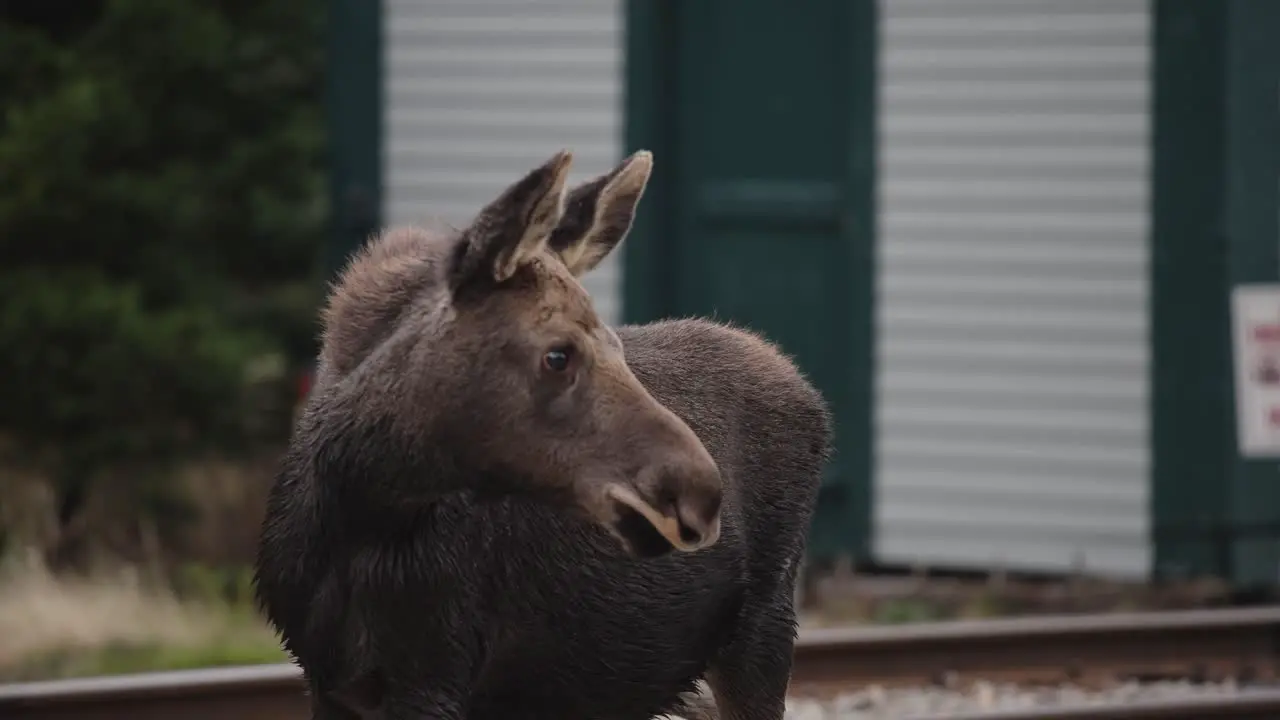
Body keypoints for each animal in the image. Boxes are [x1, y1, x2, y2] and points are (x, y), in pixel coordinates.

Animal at [252, 147, 829, 717]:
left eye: (615, 343)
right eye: (557, 354)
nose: (700, 490)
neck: (356, 517)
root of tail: (808, 391)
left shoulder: (435, 674)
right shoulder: (330, 679)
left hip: (764, 625)